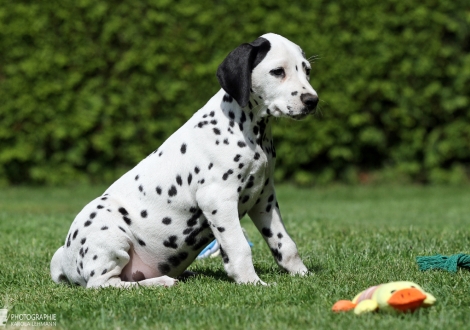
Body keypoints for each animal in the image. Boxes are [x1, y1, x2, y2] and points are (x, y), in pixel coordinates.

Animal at [49, 32, 318, 288]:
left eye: (307, 70)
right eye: (277, 71)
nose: (312, 101)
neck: (248, 129)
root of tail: (63, 260)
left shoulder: (263, 197)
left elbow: (285, 244)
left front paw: (303, 275)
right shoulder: (218, 199)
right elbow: (239, 247)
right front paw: (252, 282)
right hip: (108, 230)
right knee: (104, 284)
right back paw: (160, 282)